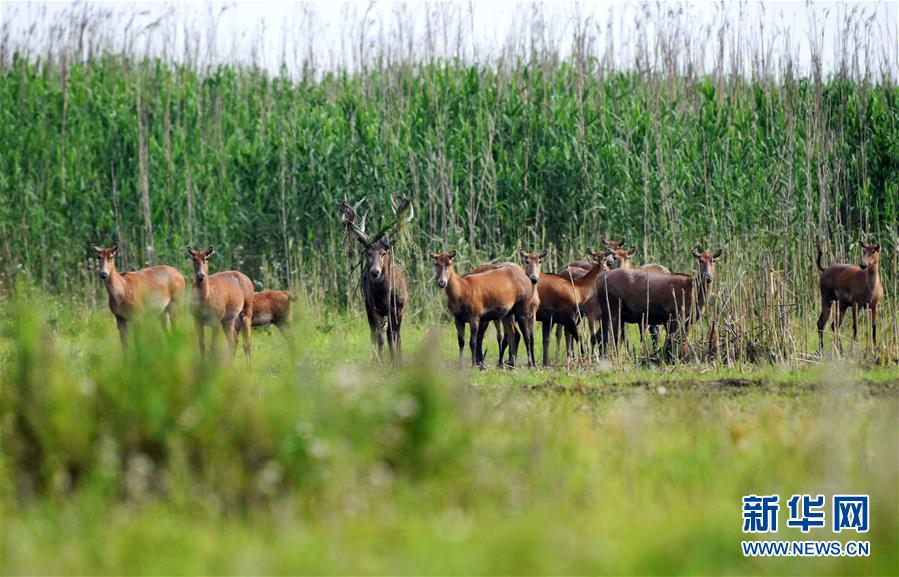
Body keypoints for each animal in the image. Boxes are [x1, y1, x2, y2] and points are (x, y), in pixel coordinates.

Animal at [592, 246, 724, 356]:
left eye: (713, 260)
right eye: (700, 260)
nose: (708, 277)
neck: (695, 294)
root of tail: (598, 281)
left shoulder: (686, 320)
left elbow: (680, 340)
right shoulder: (675, 315)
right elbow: (673, 341)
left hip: (608, 312)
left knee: (601, 335)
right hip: (613, 308)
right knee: (611, 337)